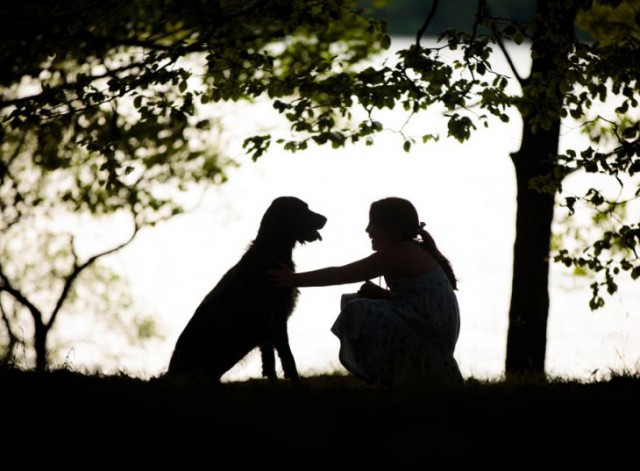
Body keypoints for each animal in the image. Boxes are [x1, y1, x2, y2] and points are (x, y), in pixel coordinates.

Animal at [166, 195, 324, 384]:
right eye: (303, 209)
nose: (325, 219)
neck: (270, 252)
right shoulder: (276, 320)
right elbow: (288, 359)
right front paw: (297, 386)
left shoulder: (268, 331)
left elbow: (270, 364)